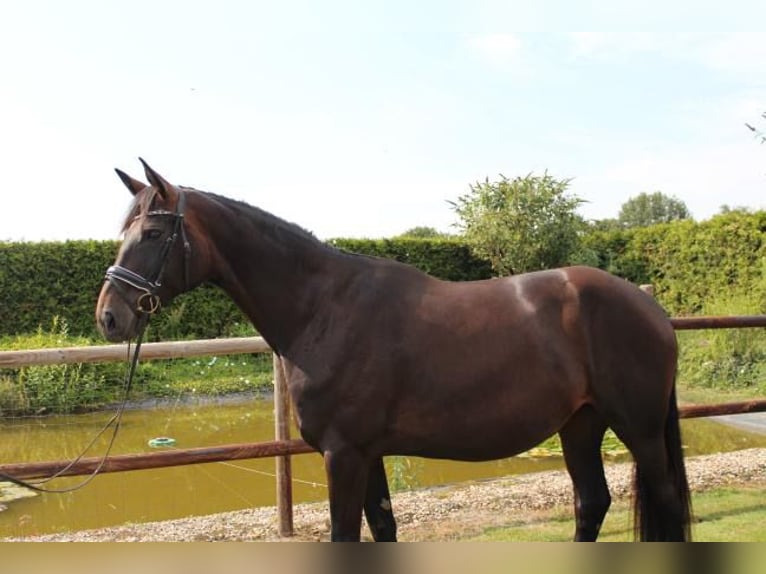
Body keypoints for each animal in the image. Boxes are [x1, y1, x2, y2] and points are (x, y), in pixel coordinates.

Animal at [97, 162, 696, 544]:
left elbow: (345, 536)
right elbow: (383, 528)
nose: (109, 315)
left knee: (664, 502)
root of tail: (649, 306)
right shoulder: (367, 454)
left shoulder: (343, 454)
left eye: (152, 233)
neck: (323, 309)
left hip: (638, 428)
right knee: (591, 503)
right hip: (581, 424)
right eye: (124, 229)